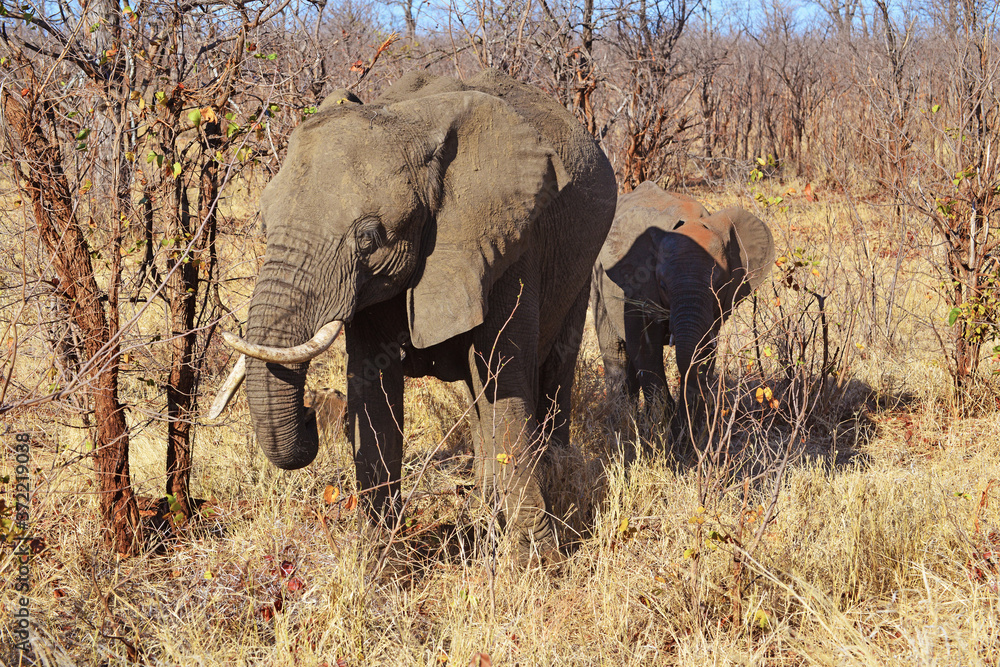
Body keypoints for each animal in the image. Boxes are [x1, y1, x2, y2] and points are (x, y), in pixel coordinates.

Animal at [213, 72, 616, 564]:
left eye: (368, 238)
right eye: (264, 224)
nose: (310, 416)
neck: (410, 121)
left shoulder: (507, 244)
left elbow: (504, 382)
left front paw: (537, 564)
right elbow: (373, 390)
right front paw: (379, 561)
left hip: (582, 260)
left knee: (555, 367)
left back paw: (553, 480)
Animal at [588, 180, 776, 436]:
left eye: (719, 285)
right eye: (663, 285)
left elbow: (704, 349)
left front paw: (684, 432)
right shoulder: (639, 285)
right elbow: (645, 346)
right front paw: (661, 428)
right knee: (616, 350)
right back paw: (621, 422)